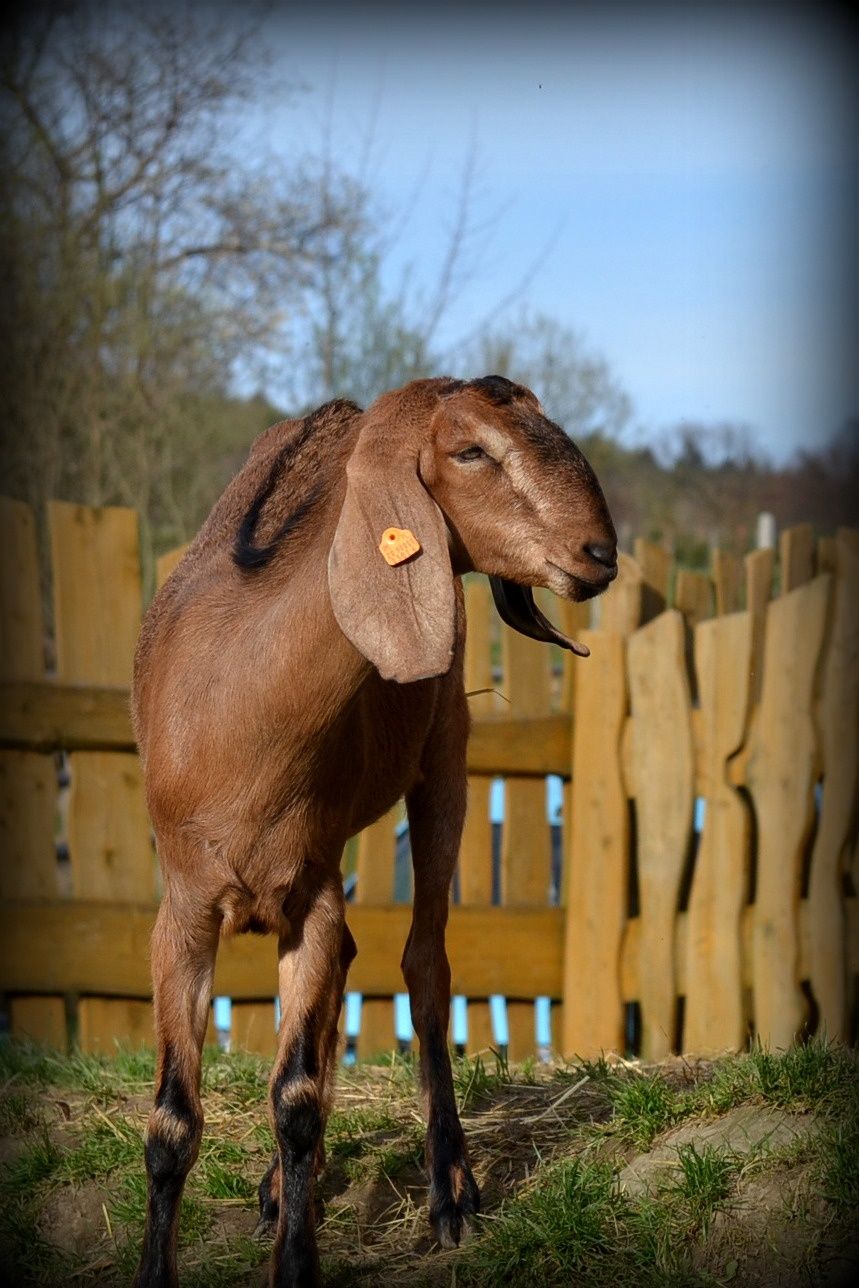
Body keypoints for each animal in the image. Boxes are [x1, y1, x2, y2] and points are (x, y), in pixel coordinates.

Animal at [131, 376, 618, 1288]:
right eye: (469, 450)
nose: (599, 553)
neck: (238, 708)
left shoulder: (311, 890)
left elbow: (294, 1100)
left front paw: (298, 1263)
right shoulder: (183, 909)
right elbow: (174, 1121)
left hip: (445, 761)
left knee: (424, 964)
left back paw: (449, 1187)